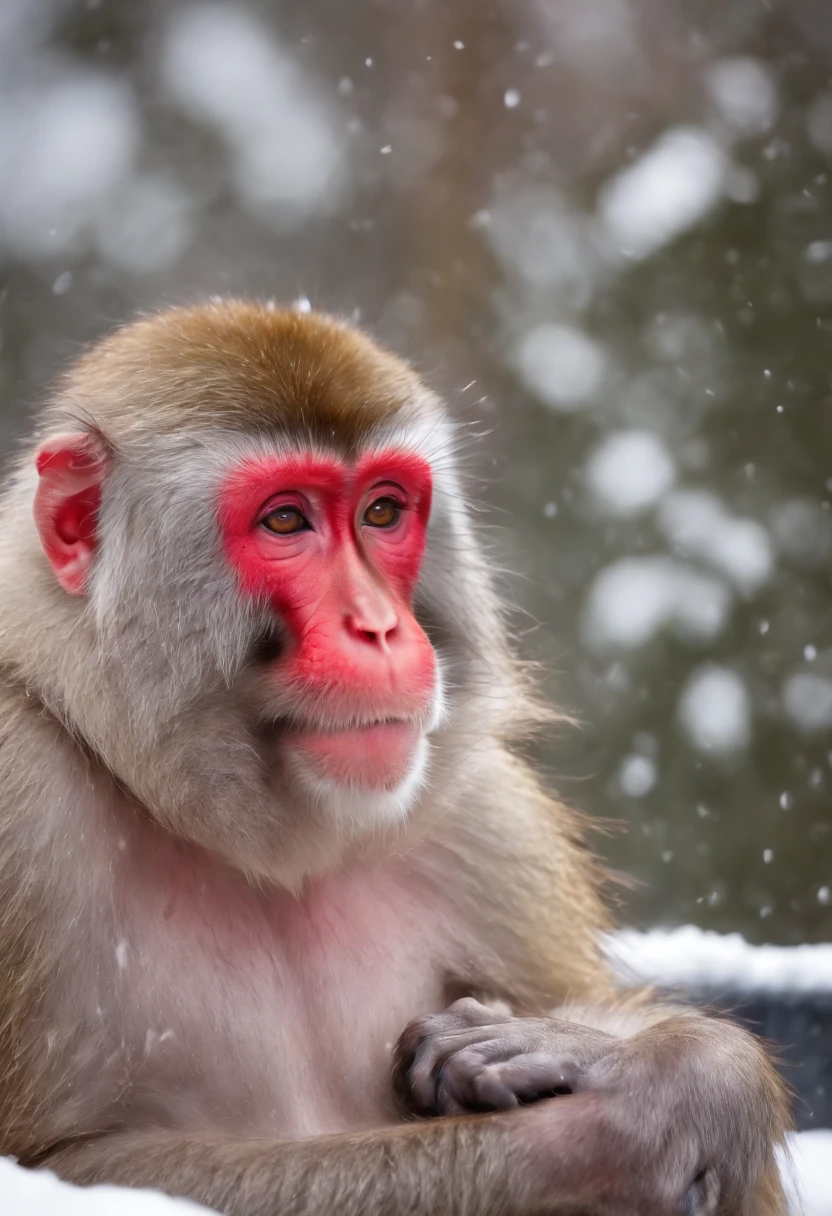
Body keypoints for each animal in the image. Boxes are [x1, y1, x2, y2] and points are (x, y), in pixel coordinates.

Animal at [0, 296, 788, 1216]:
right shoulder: (20, 805)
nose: (379, 626)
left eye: (382, 511)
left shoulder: (483, 820)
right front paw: (620, 1131)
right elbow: (75, 1168)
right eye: (285, 520)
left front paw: (622, 1054)